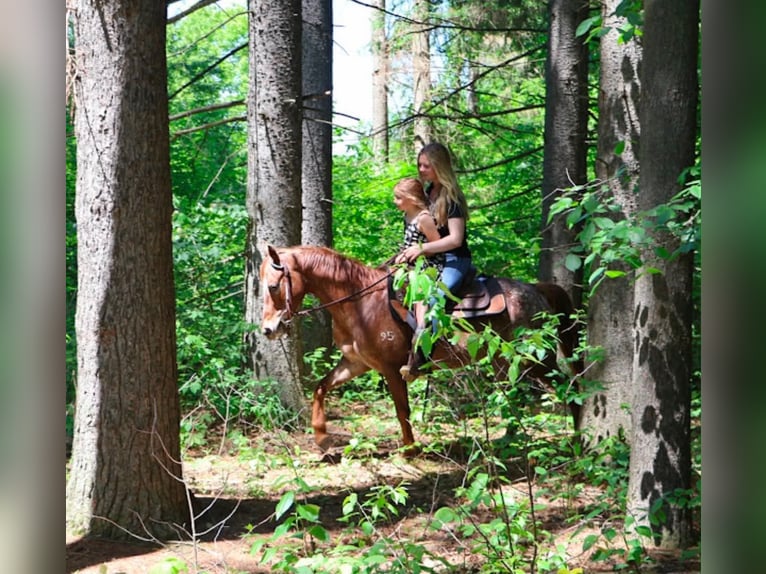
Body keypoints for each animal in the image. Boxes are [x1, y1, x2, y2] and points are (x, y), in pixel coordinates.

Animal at [259, 245, 583, 452]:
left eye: (273, 286)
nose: (268, 330)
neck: (360, 303)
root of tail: (537, 290)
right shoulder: (356, 363)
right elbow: (320, 387)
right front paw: (322, 439)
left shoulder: (391, 368)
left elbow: (401, 408)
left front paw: (410, 449)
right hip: (505, 362)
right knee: (516, 395)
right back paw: (510, 440)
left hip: (534, 359)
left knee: (569, 385)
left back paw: (578, 440)